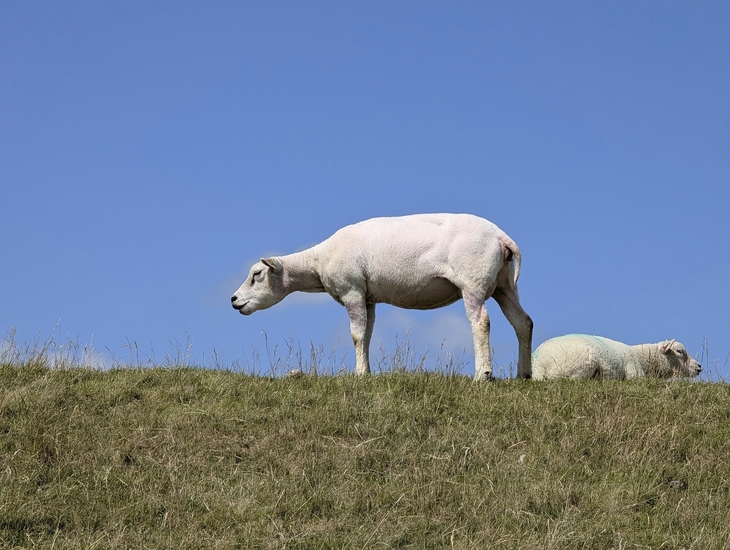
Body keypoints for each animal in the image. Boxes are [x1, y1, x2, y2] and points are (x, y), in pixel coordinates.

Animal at [231, 213, 533, 380]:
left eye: (257, 274)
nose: (233, 300)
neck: (318, 260)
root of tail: (501, 237)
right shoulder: (368, 297)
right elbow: (366, 335)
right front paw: (366, 371)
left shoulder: (351, 289)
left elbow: (355, 334)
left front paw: (358, 374)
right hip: (504, 285)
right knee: (523, 323)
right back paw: (524, 374)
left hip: (473, 282)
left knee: (481, 322)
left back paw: (483, 375)